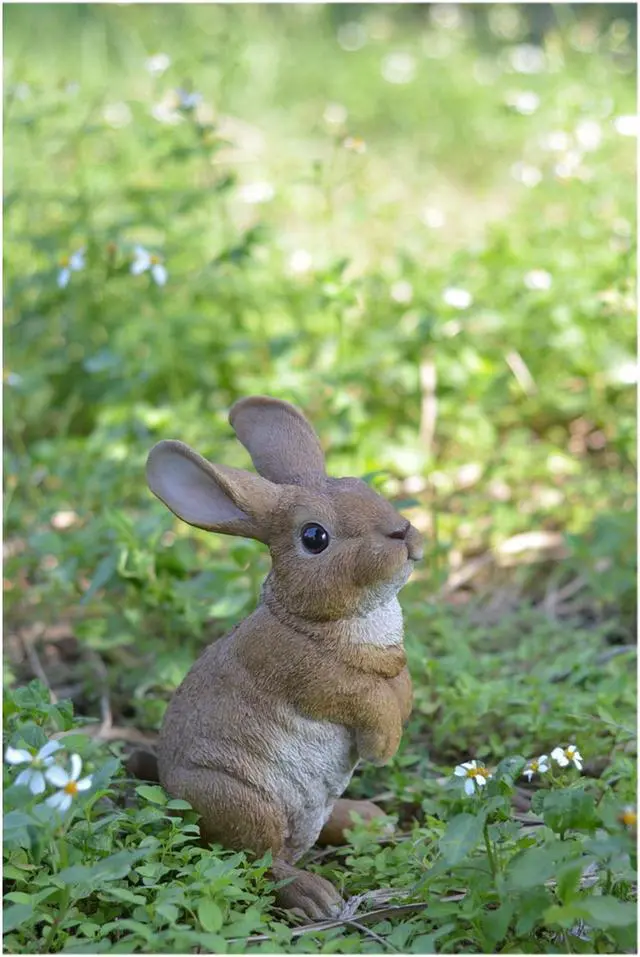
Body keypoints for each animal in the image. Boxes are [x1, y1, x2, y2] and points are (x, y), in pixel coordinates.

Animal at [145, 396, 423, 920]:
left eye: (360, 485)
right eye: (314, 537)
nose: (405, 534)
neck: (307, 617)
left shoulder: (391, 669)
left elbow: (398, 684)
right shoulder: (314, 678)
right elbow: (367, 698)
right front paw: (384, 746)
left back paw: (369, 821)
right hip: (241, 799)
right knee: (262, 860)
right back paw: (317, 898)